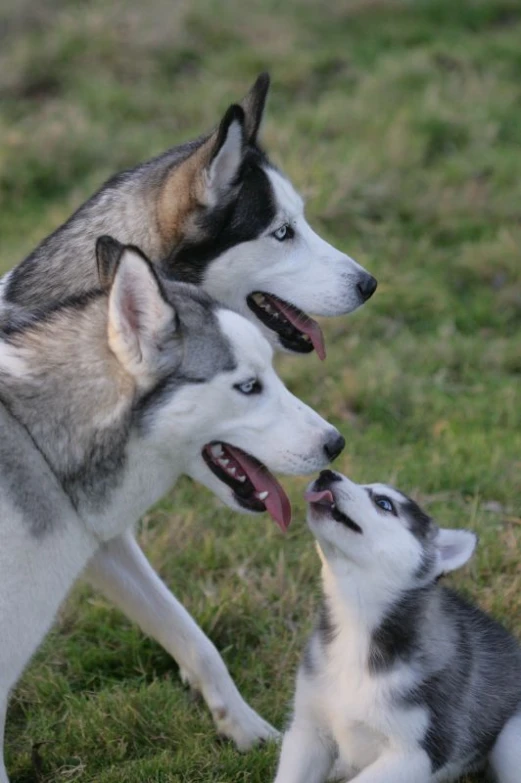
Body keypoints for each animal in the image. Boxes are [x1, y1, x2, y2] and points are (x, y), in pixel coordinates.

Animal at [274, 472, 520, 783]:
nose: (326, 474)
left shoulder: (416, 754)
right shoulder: (308, 730)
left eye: (384, 503)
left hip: (511, 738)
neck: (355, 625)